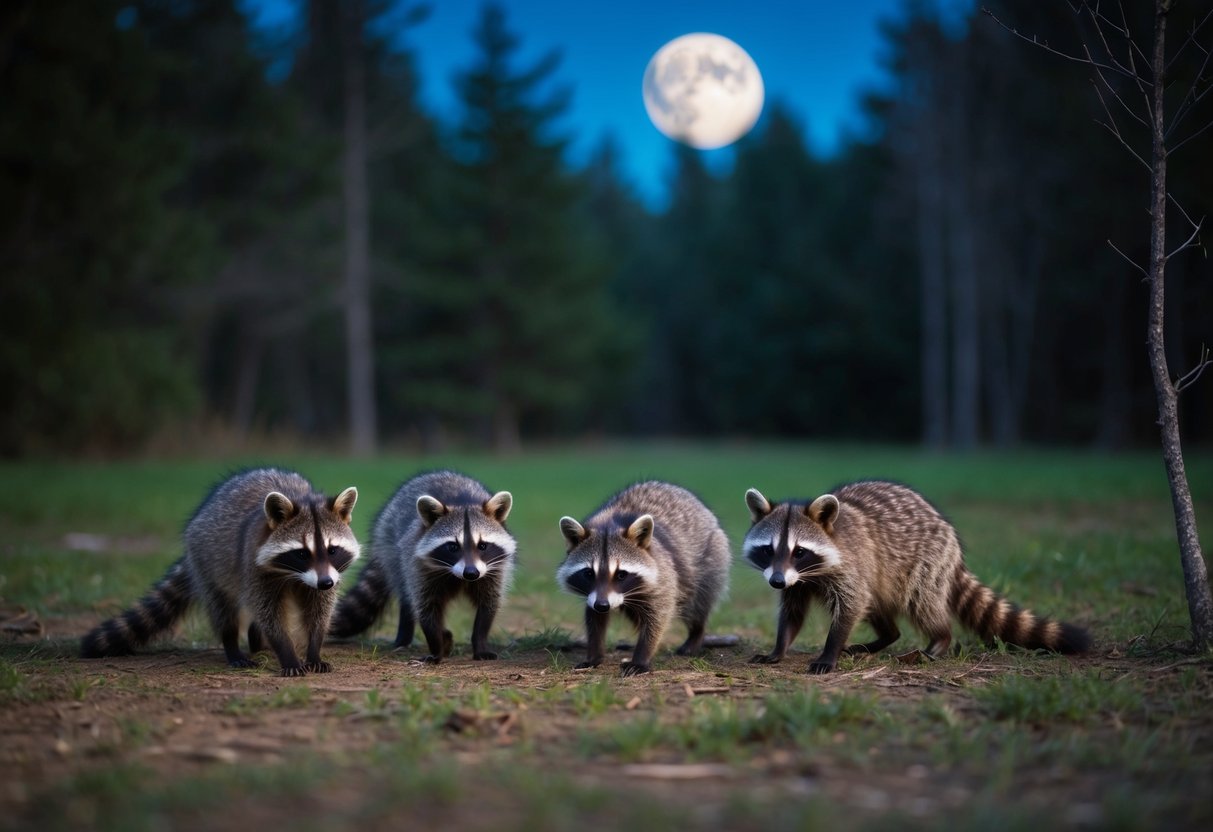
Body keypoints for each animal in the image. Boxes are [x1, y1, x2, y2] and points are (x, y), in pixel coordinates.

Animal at [81, 468, 359, 677]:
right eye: (301, 553)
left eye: (332, 550)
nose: (325, 582)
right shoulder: (254, 568)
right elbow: (269, 614)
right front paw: (287, 652)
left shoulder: (325, 576)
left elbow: (319, 611)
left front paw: (314, 648)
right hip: (208, 564)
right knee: (223, 608)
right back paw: (233, 645)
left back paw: (257, 640)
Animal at [329, 470, 515, 663]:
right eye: (453, 547)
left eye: (483, 546)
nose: (471, 573)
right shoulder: (417, 565)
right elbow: (425, 608)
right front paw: (436, 647)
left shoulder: (494, 569)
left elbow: (488, 604)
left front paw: (480, 642)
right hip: (390, 546)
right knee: (406, 594)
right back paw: (406, 635)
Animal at [556, 481, 731, 676]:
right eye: (588, 573)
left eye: (621, 574)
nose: (603, 605)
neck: (608, 524)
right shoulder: (593, 596)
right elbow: (594, 618)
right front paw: (594, 654)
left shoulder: (664, 577)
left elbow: (658, 617)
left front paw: (642, 656)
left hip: (710, 563)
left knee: (697, 606)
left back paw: (696, 633)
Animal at [743, 481, 1091, 673]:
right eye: (768, 550)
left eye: (799, 551)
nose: (776, 581)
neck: (809, 572)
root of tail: (954, 547)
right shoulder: (797, 582)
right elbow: (793, 613)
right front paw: (779, 648)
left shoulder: (850, 565)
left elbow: (851, 606)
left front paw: (830, 650)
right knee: (878, 605)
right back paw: (887, 636)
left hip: (926, 563)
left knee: (920, 602)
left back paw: (939, 639)